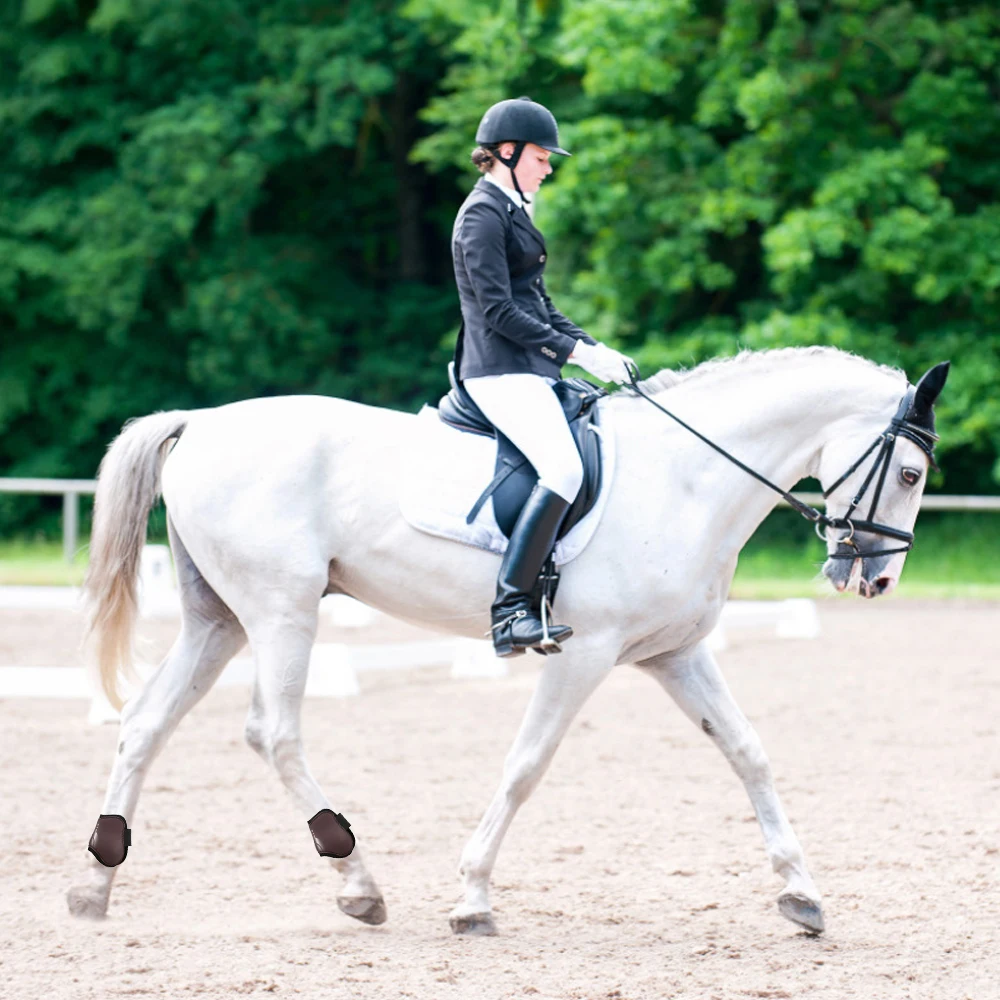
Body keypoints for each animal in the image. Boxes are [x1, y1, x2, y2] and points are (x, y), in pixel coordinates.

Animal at [68, 346, 944, 936]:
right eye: (907, 474)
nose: (874, 579)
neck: (686, 479)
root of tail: (202, 423)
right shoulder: (584, 652)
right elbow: (526, 765)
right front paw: (472, 897)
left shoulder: (674, 653)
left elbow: (748, 752)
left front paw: (801, 893)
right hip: (282, 610)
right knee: (272, 731)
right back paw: (356, 880)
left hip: (217, 619)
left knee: (145, 723)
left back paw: (95, 882)